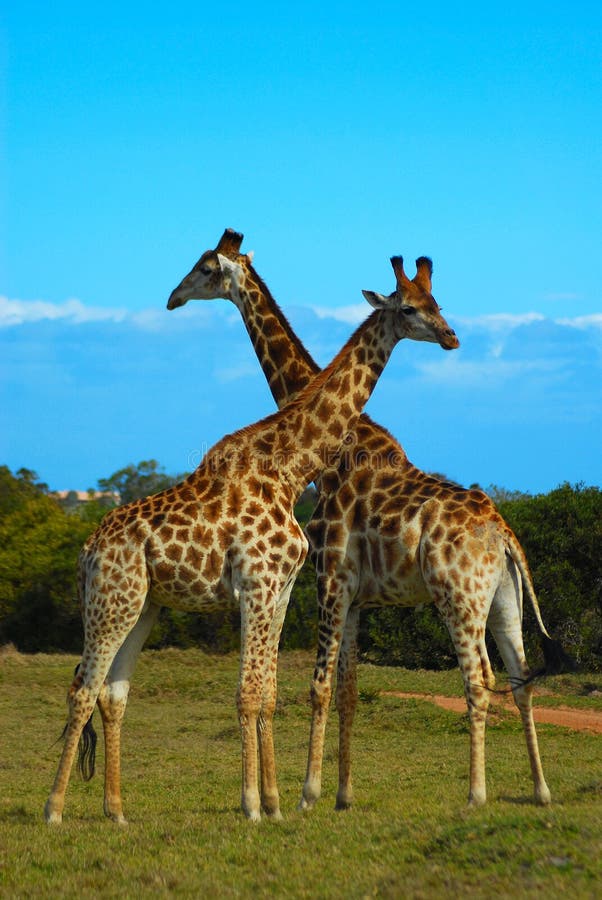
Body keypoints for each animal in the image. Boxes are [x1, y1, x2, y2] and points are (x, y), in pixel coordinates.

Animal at [43, 239, 454, 824]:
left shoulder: (280, 590)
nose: (451, 336)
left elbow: (266, 693)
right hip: (112, 603)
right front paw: (255, 805)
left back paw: (117, 812)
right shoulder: (259, 587)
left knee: (112, 692)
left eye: (437, 302)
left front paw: (274, 803)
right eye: (411, 309)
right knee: (82, 687)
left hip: (142, 606)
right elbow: (248, 693)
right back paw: (55, 810)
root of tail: (85, 552)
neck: (291, 468)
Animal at [168, 227, 572, 808]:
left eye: (204, 269)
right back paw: (540, 791)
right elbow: (350, 692)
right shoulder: (358, 596)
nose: (172, 298)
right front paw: (343, 795)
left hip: (459, 597)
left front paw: (308, 793)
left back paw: (476, 795)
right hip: (503, 599)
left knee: (478, 680)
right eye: (418, 305)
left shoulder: (329, 576)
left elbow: (318, 688)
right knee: (521, 678)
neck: (333, 455)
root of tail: (503, 533)